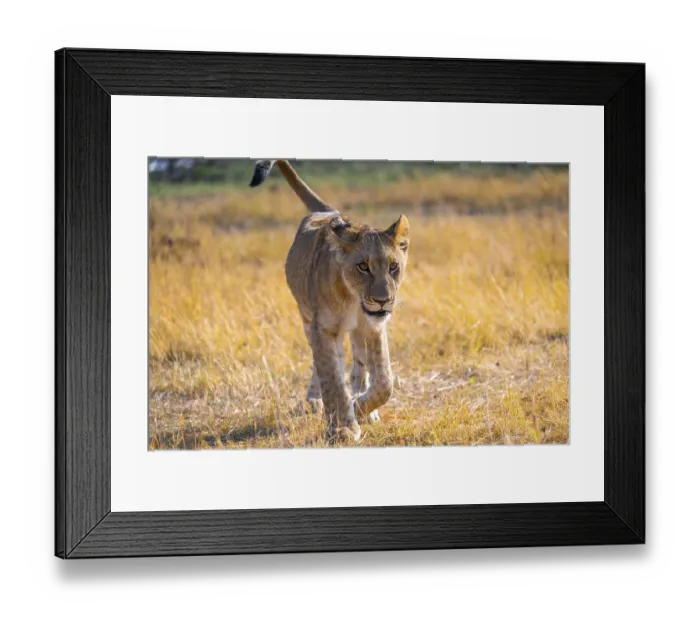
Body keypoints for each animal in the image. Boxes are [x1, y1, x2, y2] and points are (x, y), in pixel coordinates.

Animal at [249, 159, 410, 442]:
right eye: (363, 266)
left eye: (393, 266)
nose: (383, 301)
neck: (353, 301)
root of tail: (326, 212)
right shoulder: (323, 328)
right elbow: (333, 381)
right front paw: (342, 427)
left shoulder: (374, 327)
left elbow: (384, 382)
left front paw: (361, 407)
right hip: (307, 318)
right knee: (323, 363)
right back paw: (317, 400)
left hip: (354, 332)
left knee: (358, 365)